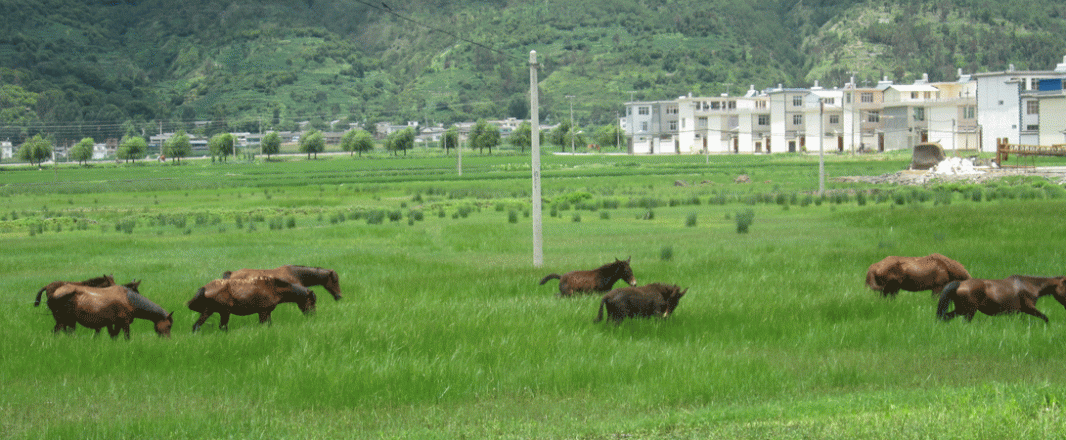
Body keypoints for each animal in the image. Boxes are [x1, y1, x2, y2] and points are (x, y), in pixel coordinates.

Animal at [188, 277, 317, 332]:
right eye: (312, 302)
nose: (313, 315)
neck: (274, 287)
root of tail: (205, 288)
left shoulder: (266, 312)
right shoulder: (263, 312)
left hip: (208, 311)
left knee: (196, 326)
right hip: (224, 312)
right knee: (223, 327)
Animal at [937, 275, 1066, 323]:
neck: (1031, 285)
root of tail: (960, 283)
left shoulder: (1017, 312)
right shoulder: (1029, 308)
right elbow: (1045, 318)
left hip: (961, 310)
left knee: (945, 317)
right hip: (968, 311)